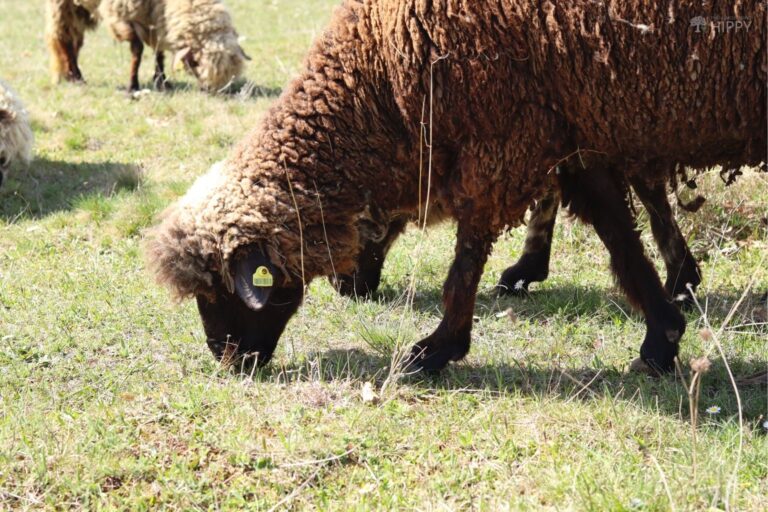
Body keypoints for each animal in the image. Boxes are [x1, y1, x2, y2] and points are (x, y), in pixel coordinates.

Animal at [99, 0, 250, 92]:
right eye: (195, 63)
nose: (209, 91)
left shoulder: (156, 19)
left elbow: (158, 51)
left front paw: (161, 81)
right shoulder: (120, 14)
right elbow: (138, 50)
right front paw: (133, 86)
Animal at [146, 0, 766, 374]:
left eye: (218, 294)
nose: (227, 360)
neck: (379, 78)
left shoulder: (503, 134)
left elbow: (467, 254)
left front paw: (437, 348)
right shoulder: (567, 131)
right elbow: (620, 238)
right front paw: (662, 336)